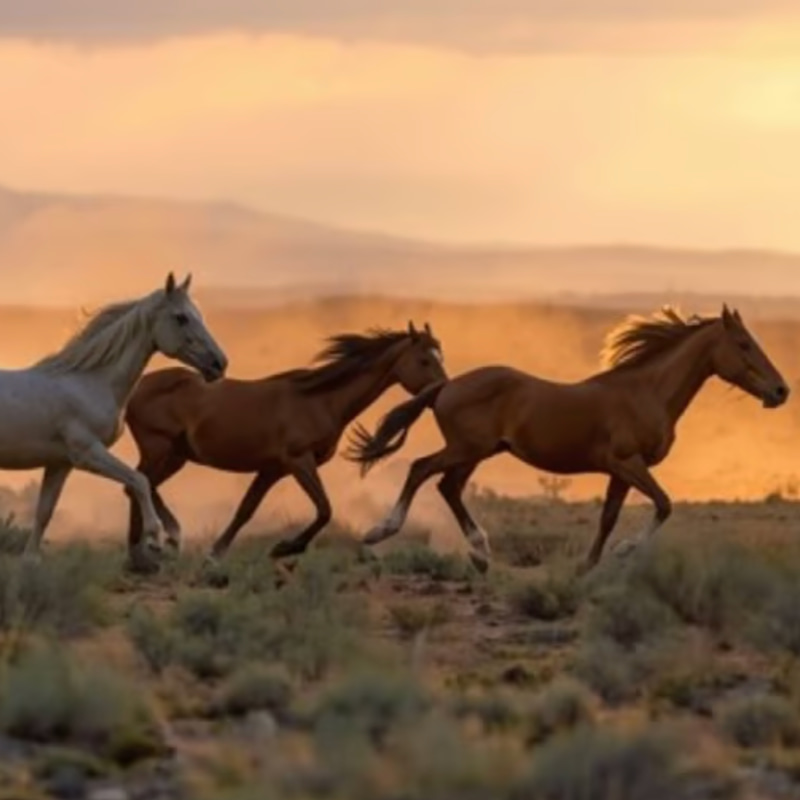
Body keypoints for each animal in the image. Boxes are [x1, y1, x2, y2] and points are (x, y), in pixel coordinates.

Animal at [0, 273, 227, 566]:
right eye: (181, 317)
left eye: (198, 314)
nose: (219, 364)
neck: (89, 383)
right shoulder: (88, 454)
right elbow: (139, 480)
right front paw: (156, 539)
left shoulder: (60, 463)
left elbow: (44, 513)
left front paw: (30, 562)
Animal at [123, 321, 446, 565]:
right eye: (424, 360)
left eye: (440, 356)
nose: (442, 390)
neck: (320, 399)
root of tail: (133, 391)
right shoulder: (298, 461)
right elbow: (324, 509)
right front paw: (285, 548)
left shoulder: (272, 470)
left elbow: (246, 510)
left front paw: (215, 554)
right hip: (159, 450)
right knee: (138, 483)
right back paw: (149, 549)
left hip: (176, 456)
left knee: (139, 485)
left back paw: (159, 542)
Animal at [345, 305, 789, 572]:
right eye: (744, 344)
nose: (781, 391)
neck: (646, 391)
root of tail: (445, 386)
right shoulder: (627, 462)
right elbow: (664, 505)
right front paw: (622, 552)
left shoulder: (619, 472)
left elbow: (608, 518)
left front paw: (588, 567)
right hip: (466, 448)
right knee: (421, 470)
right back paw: (381, 531)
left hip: (477, 452)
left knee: (447, 487)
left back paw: (481, 553)